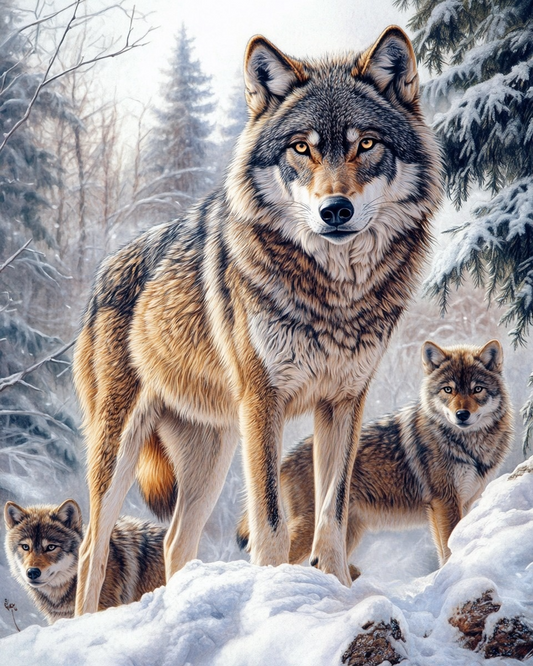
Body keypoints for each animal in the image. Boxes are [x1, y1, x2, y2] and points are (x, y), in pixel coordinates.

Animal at [73, 26, 442, 613]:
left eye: (366, 144)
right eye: (301, 147)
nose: (335, 210)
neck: (333, 295)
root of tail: (102, 273)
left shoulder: (345, 403)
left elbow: (333, 516)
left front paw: (336, 593)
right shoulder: (263, 401)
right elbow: (270, 520)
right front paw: (277, 596)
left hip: (213, 452)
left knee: (176, 541)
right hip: (123, 447)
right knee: (92, 546)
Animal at [237, 340, 513, 571]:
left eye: (477, 389)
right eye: (448, 390)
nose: (462, 415)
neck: (470, 446)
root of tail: (286, 456)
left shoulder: (462, 502)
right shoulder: (444, 502)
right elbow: (447, 549)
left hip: (344, 531)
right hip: (312, 527)